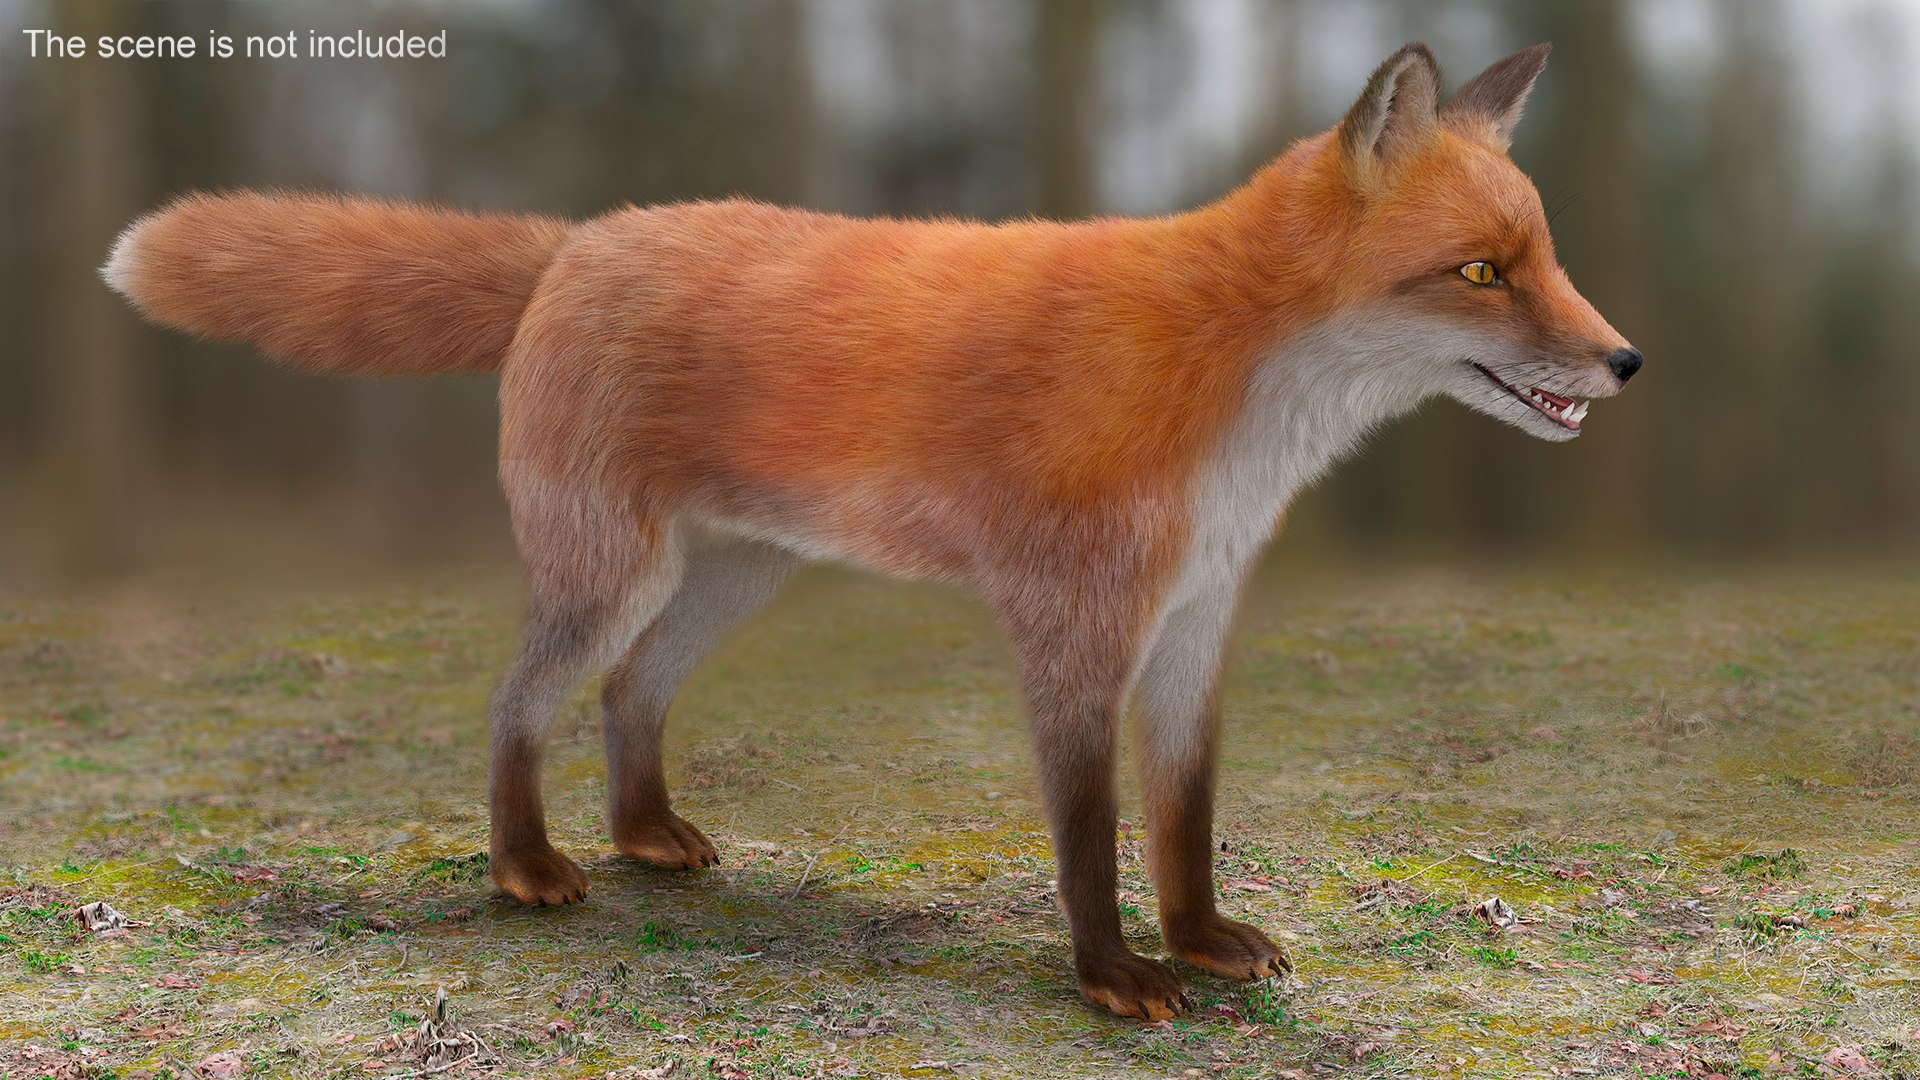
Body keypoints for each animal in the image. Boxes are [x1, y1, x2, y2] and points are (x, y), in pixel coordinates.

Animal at [103, 43, 1639, 1019]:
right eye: (1482, 273)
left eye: (1547, 257)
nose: (1626, 363)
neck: (1232, 391)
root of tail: (581, 239)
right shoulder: (1073, 630)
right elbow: (1089, 836)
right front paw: (1111, 979)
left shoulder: (1197, 629)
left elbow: (1185, 821)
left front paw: (1198, 942)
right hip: (616, 575)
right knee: (516, 700)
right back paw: (526, 868)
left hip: (730, 582)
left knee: (626, 693)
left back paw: (644, 836)